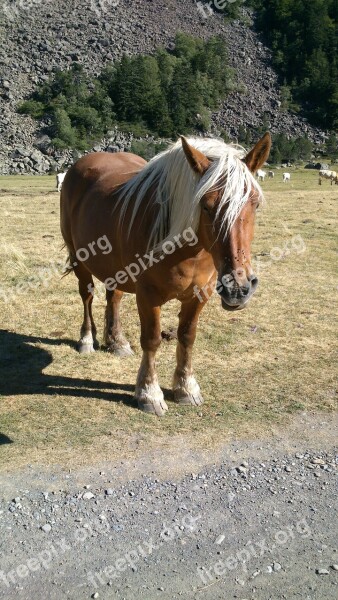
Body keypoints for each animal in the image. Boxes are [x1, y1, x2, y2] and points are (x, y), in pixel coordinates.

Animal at [60, 135, 272, 418]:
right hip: (79, 259)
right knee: (87, 296)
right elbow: (151, 340)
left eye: (255, 204)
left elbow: (187, 336)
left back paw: (117, 342)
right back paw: (86, 340)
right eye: (206, 206)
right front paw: (149, 393)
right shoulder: (148, 297)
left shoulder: (199, 296)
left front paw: (186, 388)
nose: (238, 288)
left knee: (113, 298)